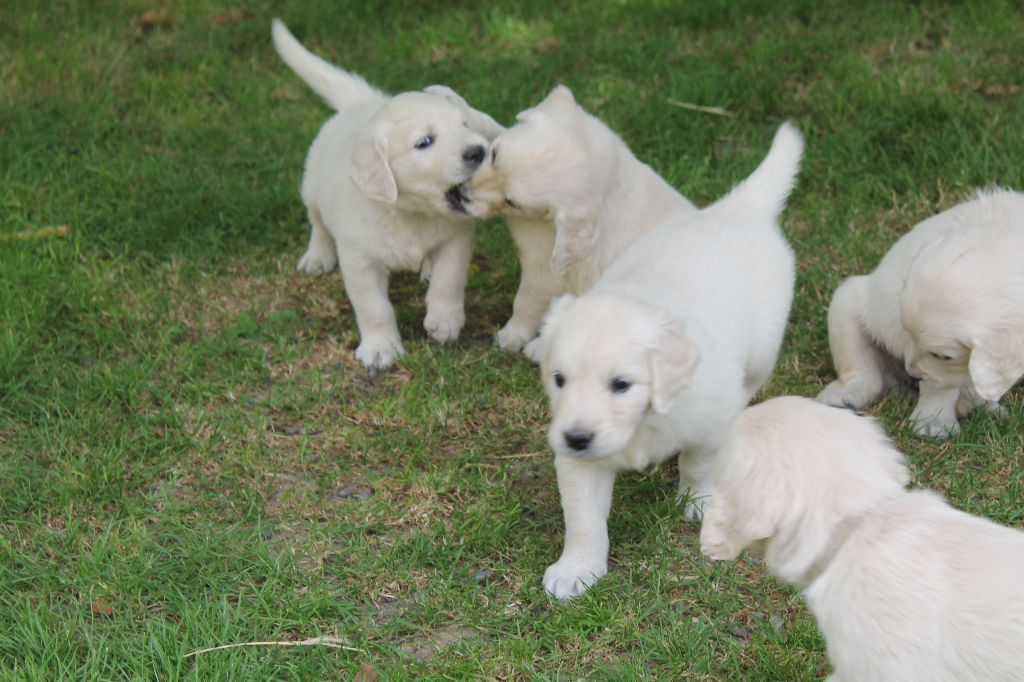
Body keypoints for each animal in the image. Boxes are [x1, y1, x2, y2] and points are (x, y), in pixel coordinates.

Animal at [268, 21, 499, 368]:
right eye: (424, 142)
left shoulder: (456, 237)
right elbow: (375, 308)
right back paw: (317, 256)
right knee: (318, 225)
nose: (478, 151)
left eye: (465, 124)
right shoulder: (360, 261)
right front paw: (380, 349)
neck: (410, 213)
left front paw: (444, 320)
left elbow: (450, 278)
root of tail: (362, 104)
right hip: (311, 187)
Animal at [460, 84, 700, 358]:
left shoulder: (543, 270)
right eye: (494, 154)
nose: (461, 194)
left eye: (512, 202)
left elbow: (525, 302)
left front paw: (510, 336)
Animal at [532, 123, 802, 602]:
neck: (644, 422)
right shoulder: (579, 461)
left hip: (764, 346)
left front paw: (697, 502)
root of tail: (737, 209)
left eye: (621, 384)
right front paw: (577, 569)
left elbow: (699, 463)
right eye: (559, 379)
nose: (577, 437)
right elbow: (583, 517)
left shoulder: (708, 421)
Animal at [815, 188, 1024, 438]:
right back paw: (843, 396)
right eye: (906, 331)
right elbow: (938, 386)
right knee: (864, 374)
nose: (912, 374)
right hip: (846, 304)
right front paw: (933, 422)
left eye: (945, 356)